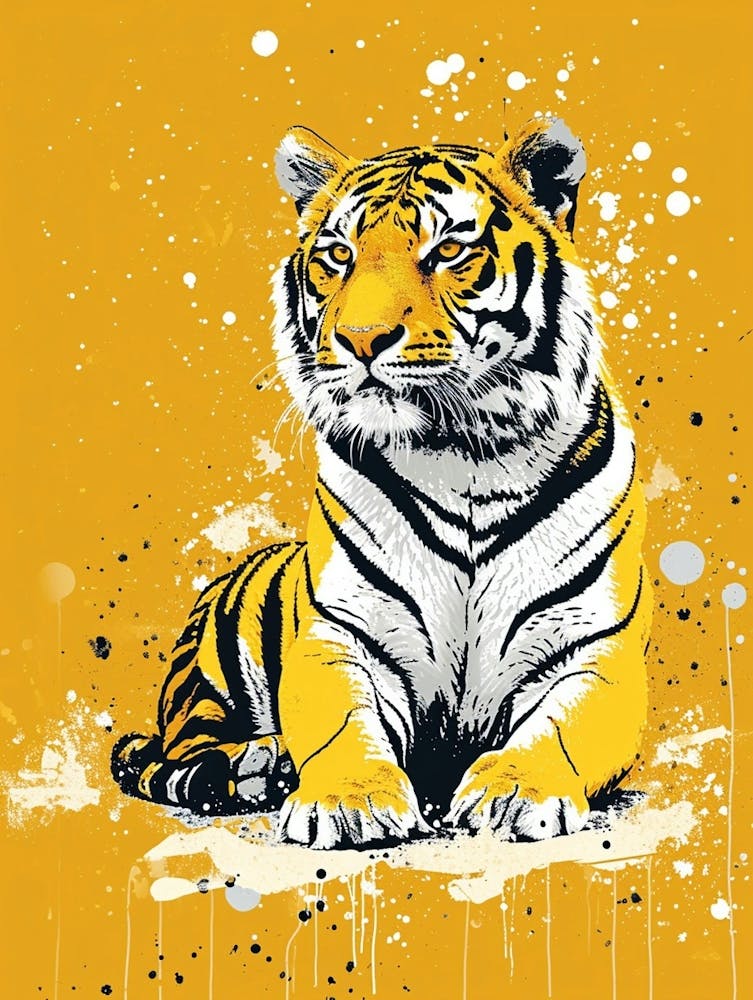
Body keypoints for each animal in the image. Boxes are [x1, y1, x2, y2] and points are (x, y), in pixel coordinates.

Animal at [112, 116, 651, 850]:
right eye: (338, 256)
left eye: (449, 250)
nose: (361, 338)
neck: (465, 458)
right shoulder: (343, 637)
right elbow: (342, 725)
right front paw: (349, 801)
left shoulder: (594, 650)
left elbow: (558, 729)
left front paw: (514, 790)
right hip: (209, 677)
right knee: (189, 753)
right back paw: (258, 766)